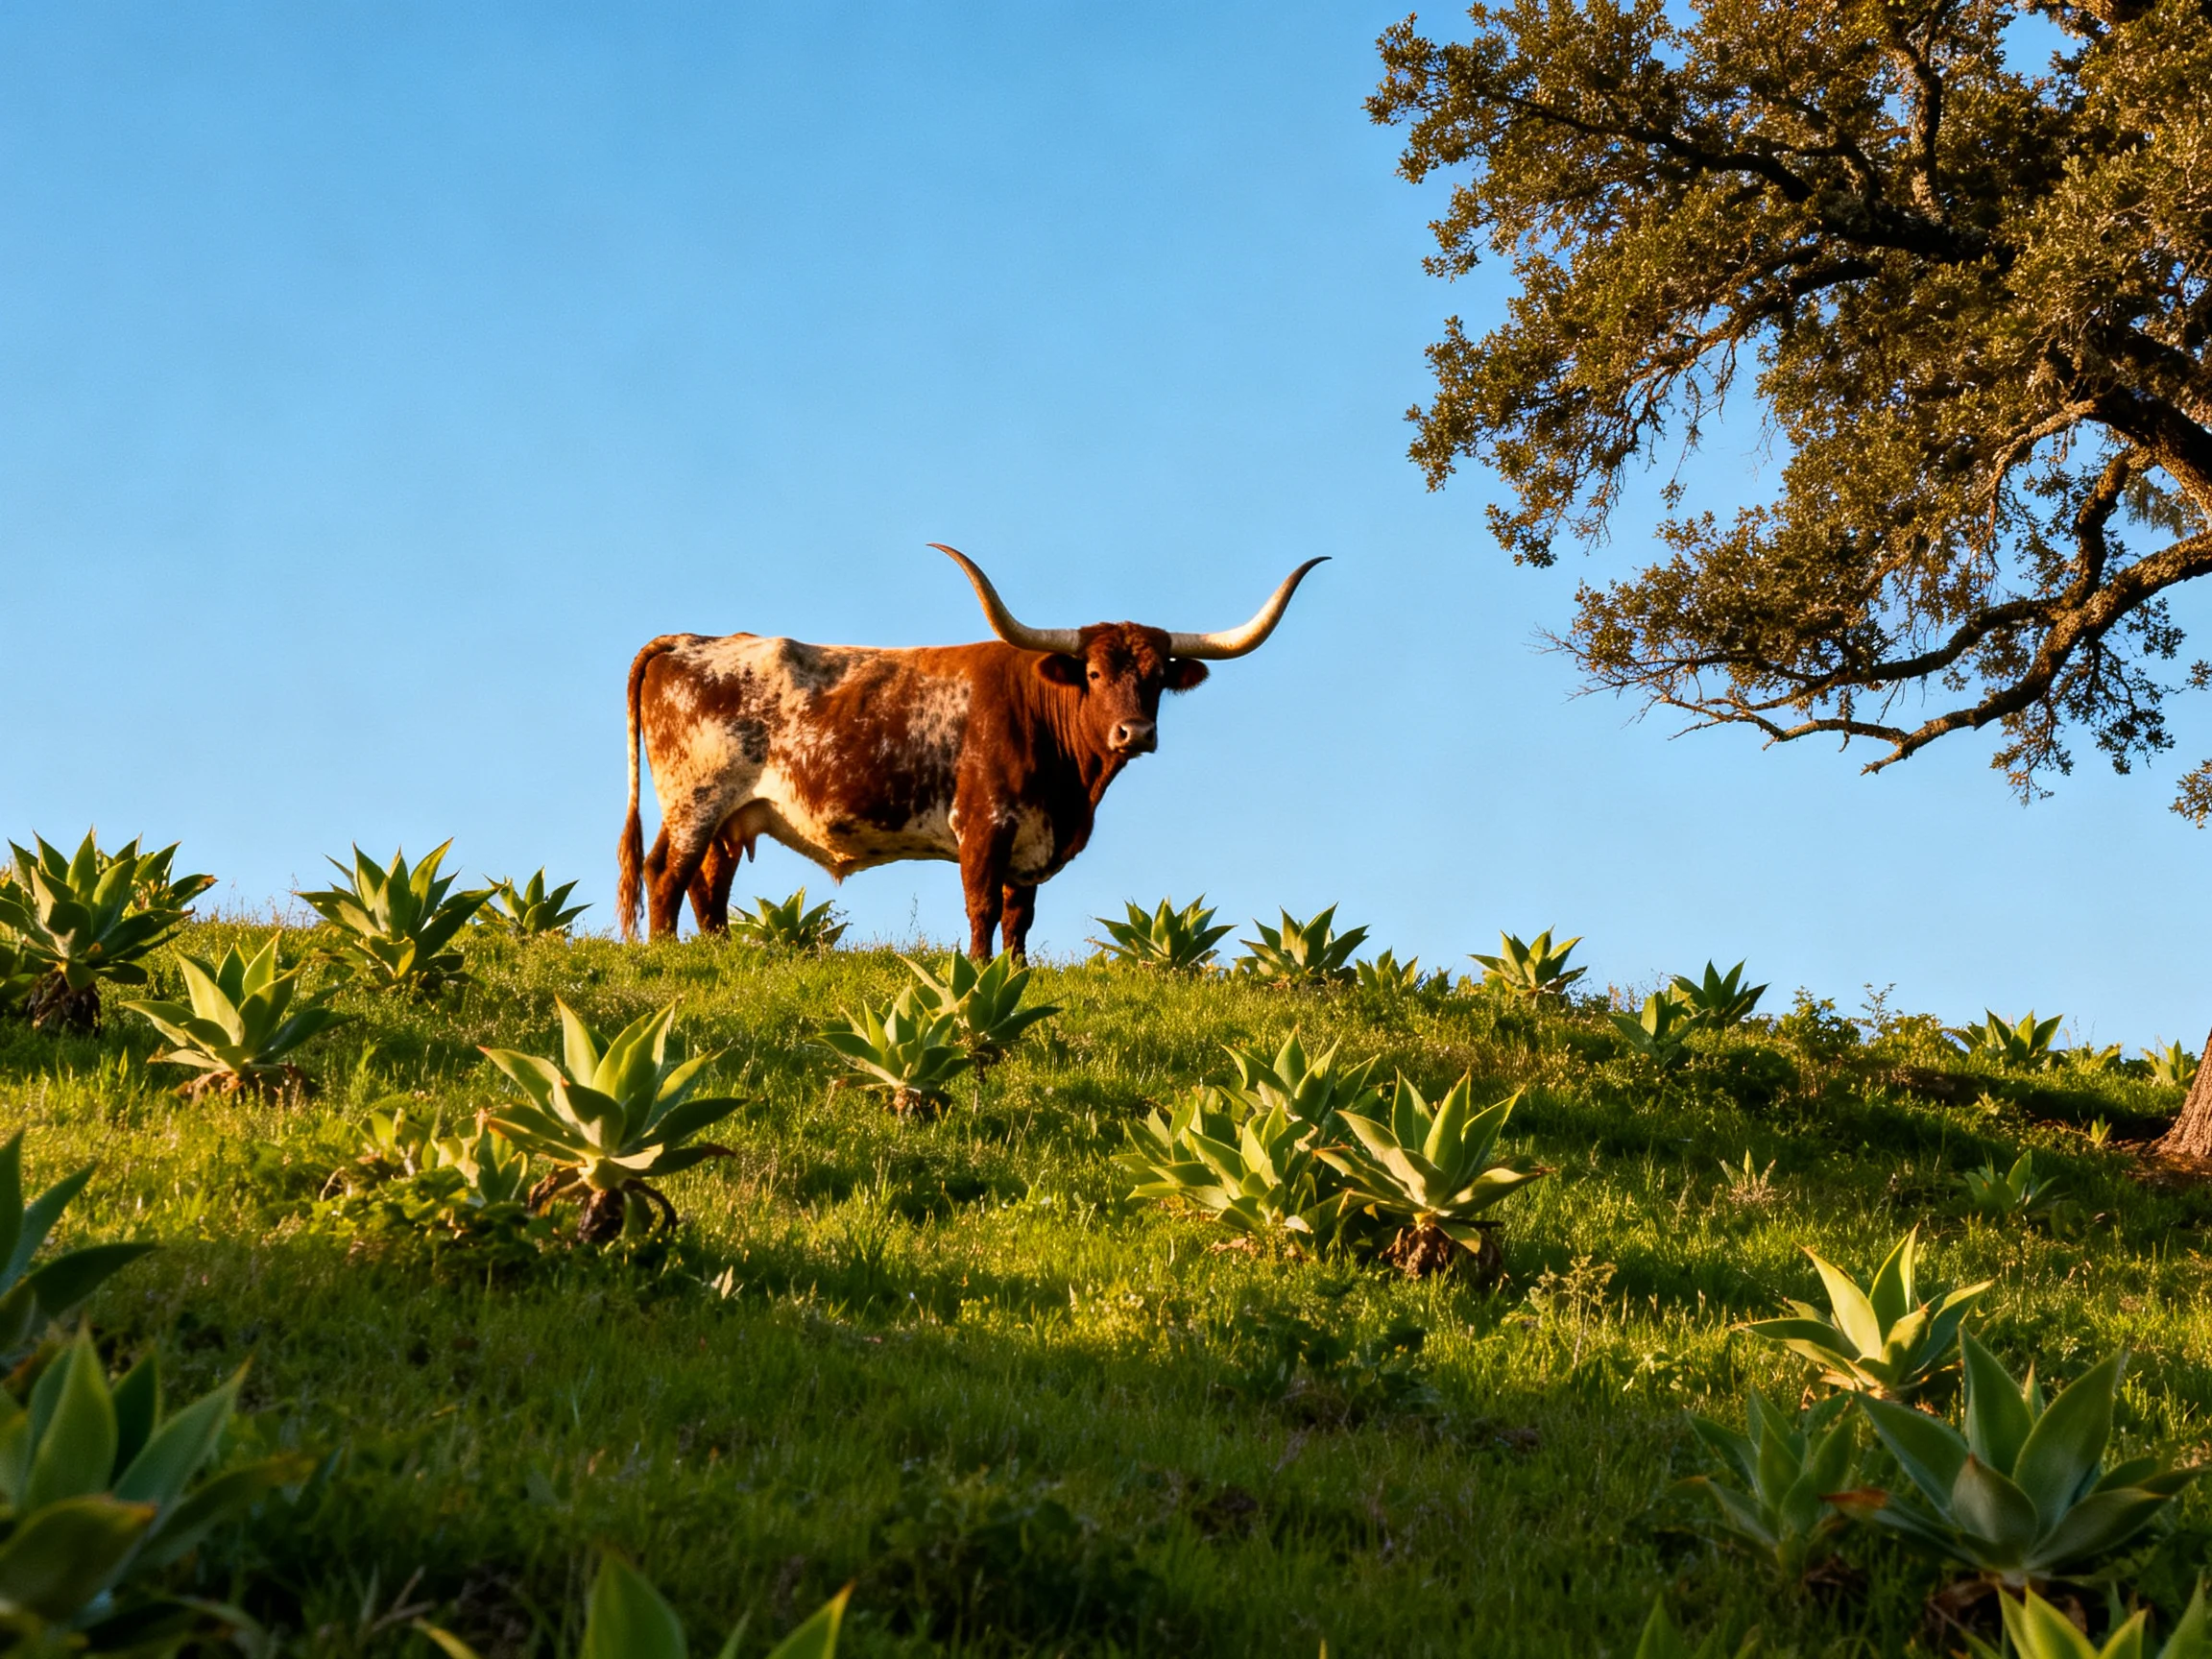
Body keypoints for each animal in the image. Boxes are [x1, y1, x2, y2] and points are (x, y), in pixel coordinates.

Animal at [617, 545, 1325, 959]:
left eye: (1155, 679)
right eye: (1095, 674)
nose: (1136, 733)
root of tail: (689, 640)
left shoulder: (1029, 844)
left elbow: (1019, 918)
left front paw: (1013, 977)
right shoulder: (984, 827)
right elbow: (982, 910)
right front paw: (981, 976)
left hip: (734, 814)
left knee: (709, 884)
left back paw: (717, 954)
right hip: (695, 798)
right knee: (665, 872)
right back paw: (667, 957)